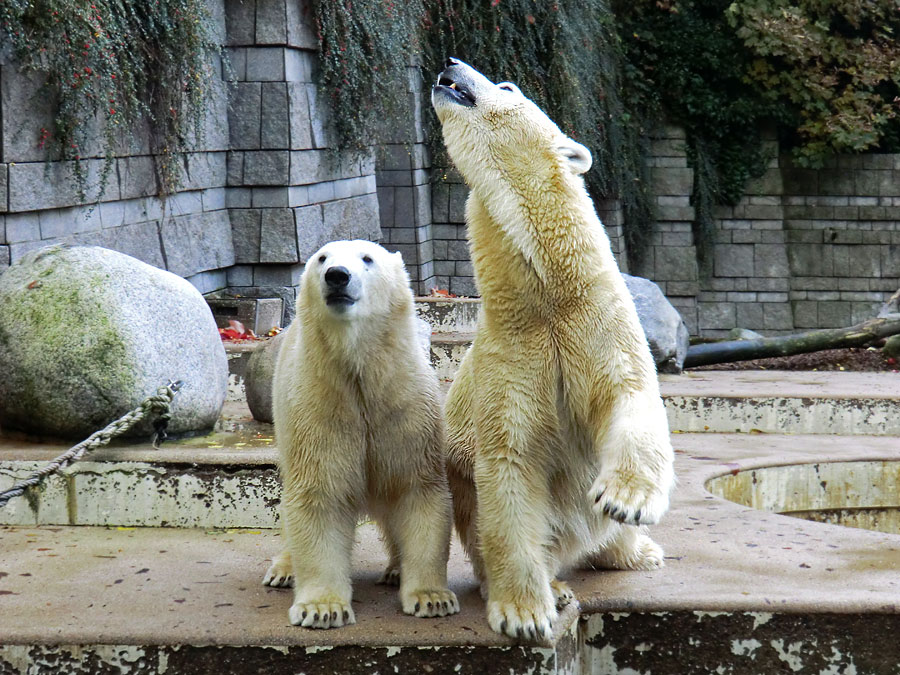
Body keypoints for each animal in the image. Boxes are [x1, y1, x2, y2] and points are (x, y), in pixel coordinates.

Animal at [260, 242, 458, 628]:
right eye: (322, 258)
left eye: (367, 259)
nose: (337, 275)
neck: (360, 373)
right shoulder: (319, 408)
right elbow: (318, 495)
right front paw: (322, 608)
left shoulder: (405, 408)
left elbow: (417, 490)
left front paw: (432, 599)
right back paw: (284, 570)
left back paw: (395, 569)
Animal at [430, 59, 676, 640]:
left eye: (506, 85)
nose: (450, 64)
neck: (548, 296)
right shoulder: (510, 350)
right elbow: (510, 462)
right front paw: (525, 613)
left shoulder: (599, 323)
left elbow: (630, 395)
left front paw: (626, 498)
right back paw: (558, 585)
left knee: (609, 535)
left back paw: (639, 551)